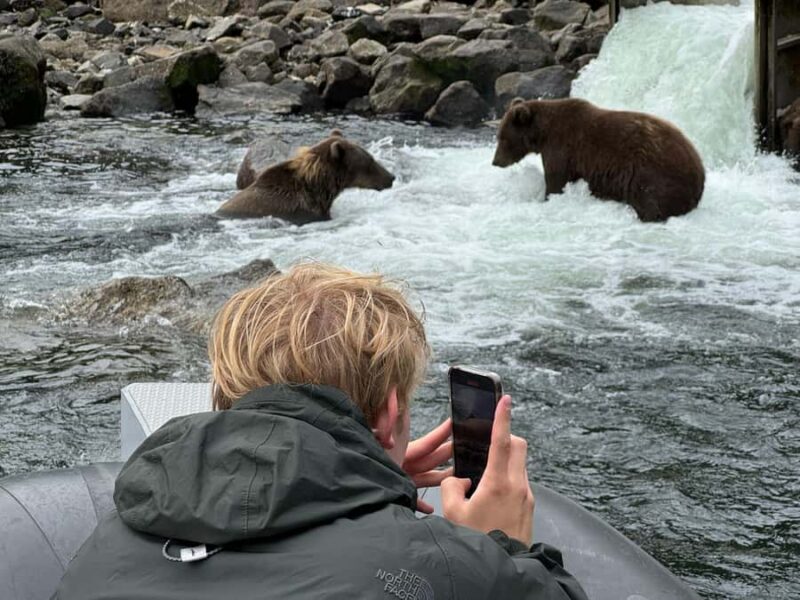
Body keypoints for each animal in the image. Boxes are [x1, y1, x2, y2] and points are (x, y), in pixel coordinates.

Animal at [492, 98, 705, 222]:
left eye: (502, 137)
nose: (495, 161)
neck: (543, 133)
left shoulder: (561, 148)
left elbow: (556, 182)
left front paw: (546, 198)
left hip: (653, 174)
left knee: (652, 203)